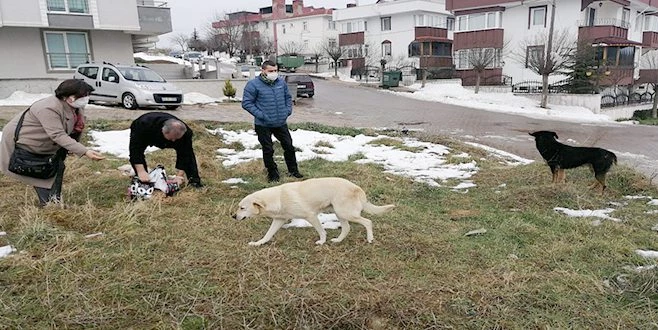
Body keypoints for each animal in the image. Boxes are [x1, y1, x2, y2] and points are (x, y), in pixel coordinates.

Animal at [233, 178, 392, 245]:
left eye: (242, 208)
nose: (233, 216)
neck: (277, 198)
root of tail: (357, 187)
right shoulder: (279, 220)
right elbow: (267, 235)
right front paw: (258, 243)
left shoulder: (311, 216)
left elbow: (321, 231)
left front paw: (321, 241)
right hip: (339, 213)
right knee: (346, 228)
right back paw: (338, 240)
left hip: (345, 212)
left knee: (368, 221)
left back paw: (370, 238)